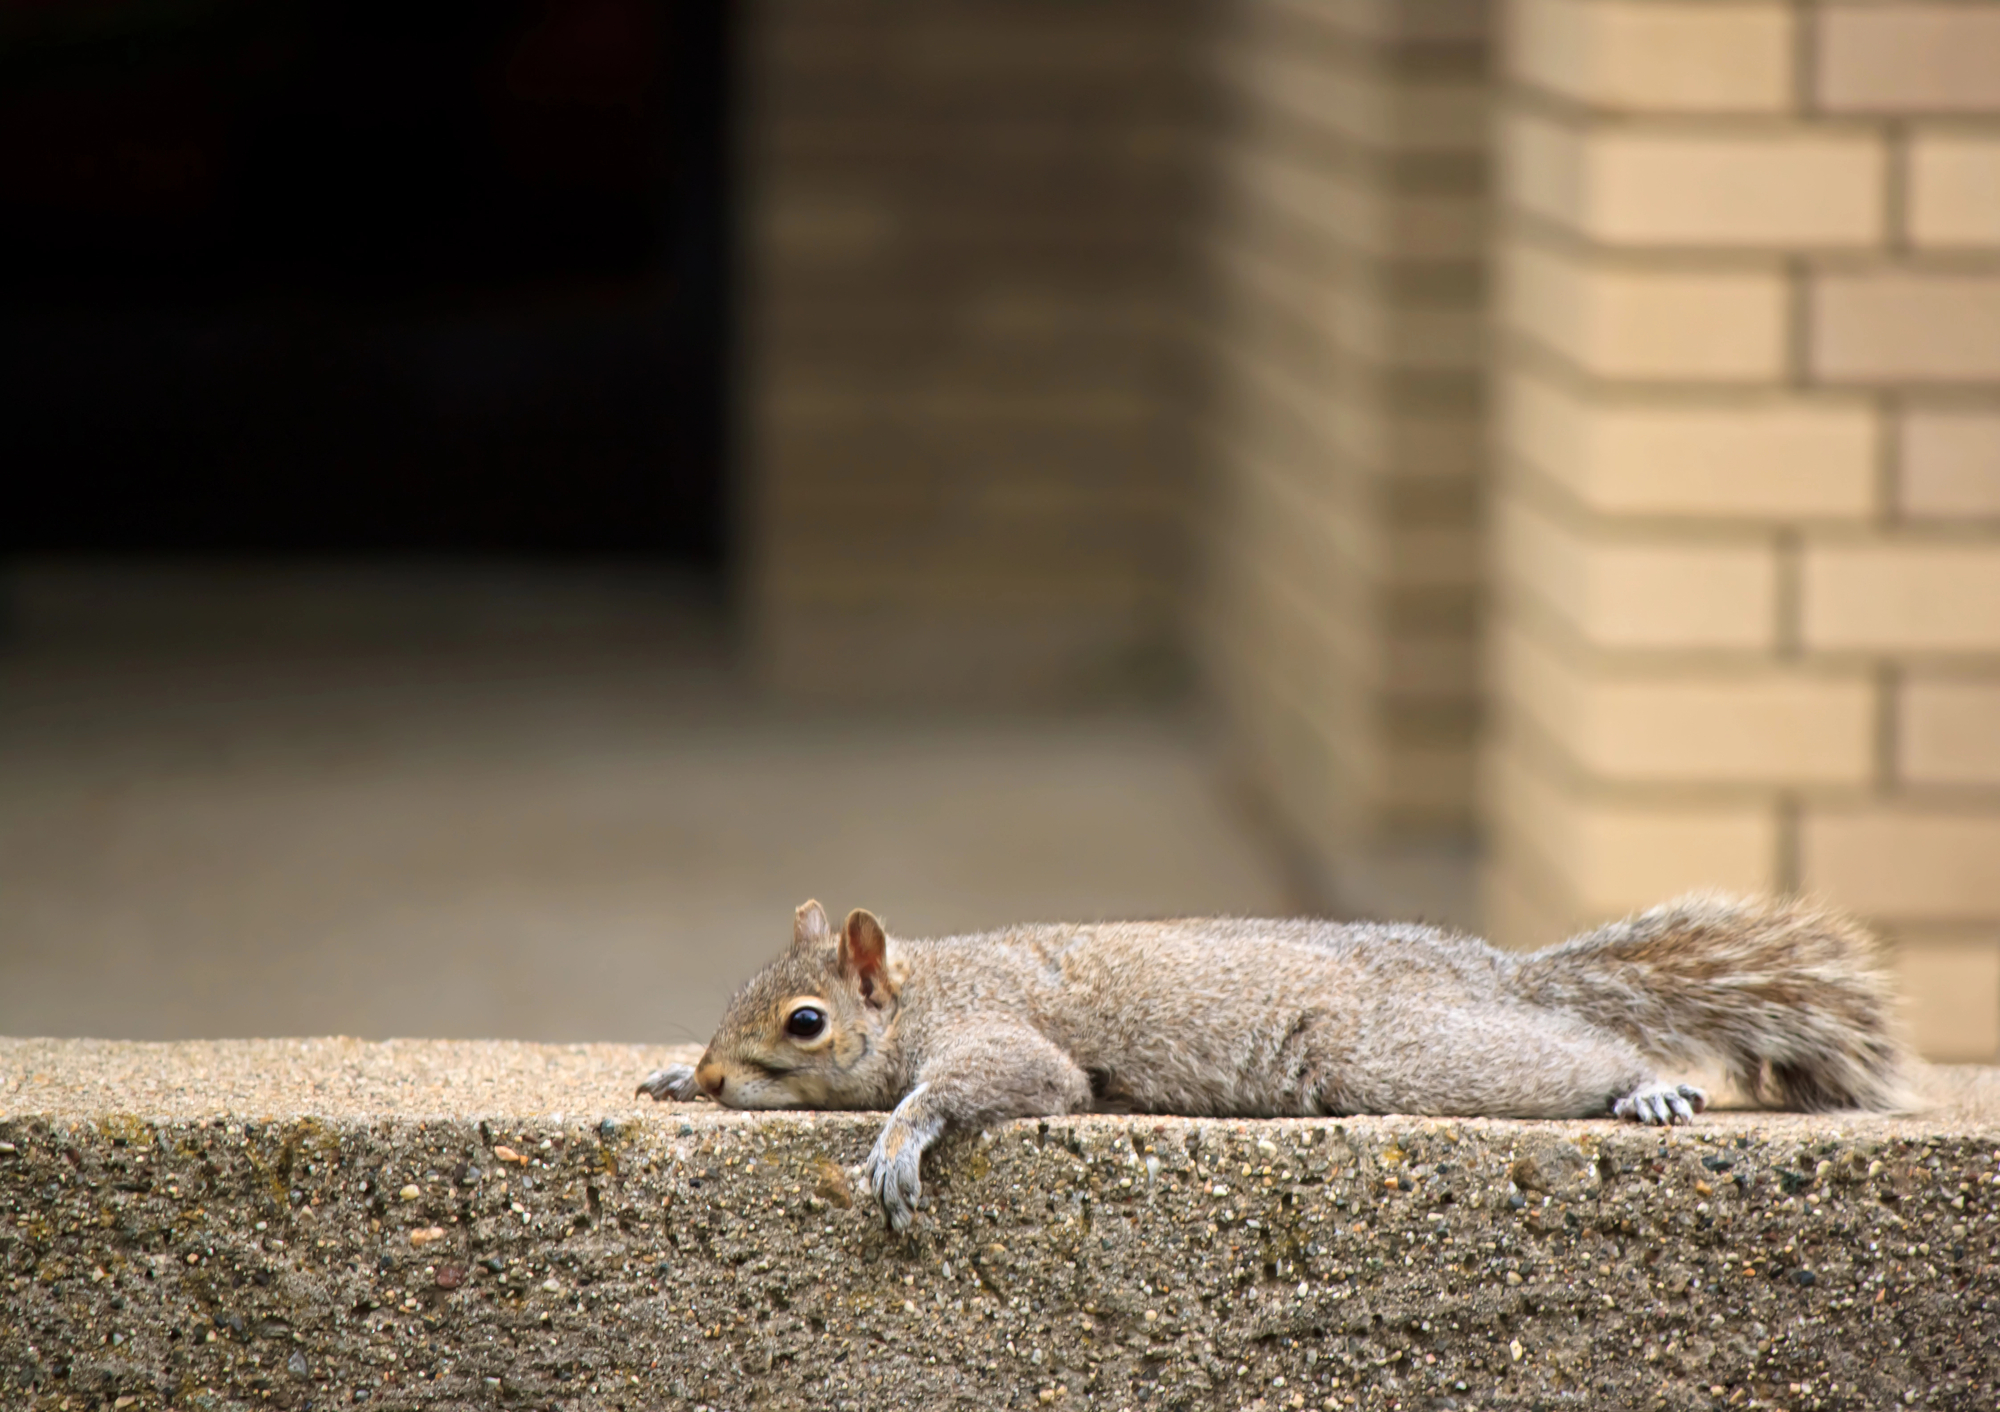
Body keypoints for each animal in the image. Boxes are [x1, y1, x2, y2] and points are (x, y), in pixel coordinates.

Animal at [640, 896, 1904, 1224]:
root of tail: (1490, 971)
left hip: (1405, 1050)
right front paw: (663, 1074)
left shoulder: (1004, 1037)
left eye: (804, 1021)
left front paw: (899, 1137)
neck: (925, 988)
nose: (714, 1077)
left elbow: (995, 1084)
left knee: (1575, 1046)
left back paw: (1641, 1081)